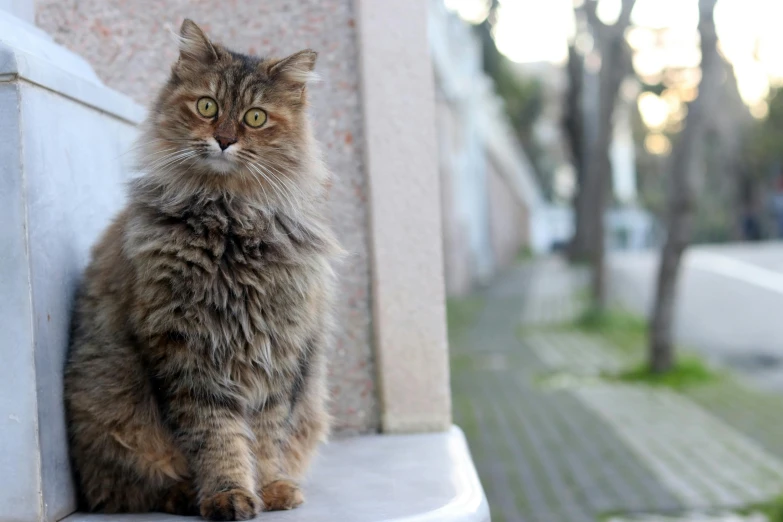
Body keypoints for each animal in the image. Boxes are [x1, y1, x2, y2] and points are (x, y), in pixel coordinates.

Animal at [63, 18, 340, 516]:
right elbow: (219, 440)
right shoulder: (187, 355)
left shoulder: (278, 355)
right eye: (207, 106)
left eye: (255, 117)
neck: (230, 222)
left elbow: (265, 438)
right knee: (128, 489)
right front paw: (228, 494)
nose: (225, 140)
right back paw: (181, 497)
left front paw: (270, 488)